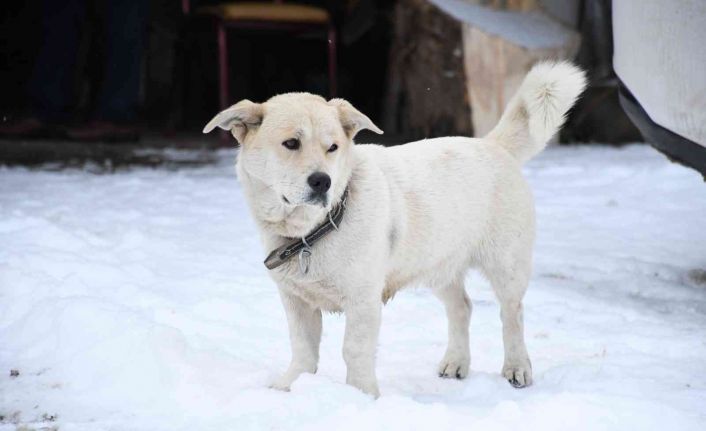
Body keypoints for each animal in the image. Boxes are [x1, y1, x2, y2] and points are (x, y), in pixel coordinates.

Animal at [203, 62, 586, 397]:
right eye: (291, 144)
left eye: (333, 148)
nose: (323, 182)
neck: (315, 230)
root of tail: (493, 145)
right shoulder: (296, 300)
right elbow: (303, 350)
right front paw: (291, 386)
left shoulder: (363, 301)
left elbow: (354, 351)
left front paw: (361, 396)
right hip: (439, 263)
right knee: (462, 307)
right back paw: (456, 363)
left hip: (506, 265)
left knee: (512, 314)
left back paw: (517, 368)